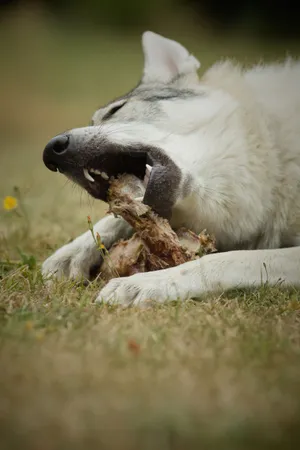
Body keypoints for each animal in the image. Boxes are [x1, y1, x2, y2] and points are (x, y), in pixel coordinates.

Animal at [41, 31, 300, 306]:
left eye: (115, 110)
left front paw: (149, 283)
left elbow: (226, 260)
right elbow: (117, 219)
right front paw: (71, 253)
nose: (50, 152)